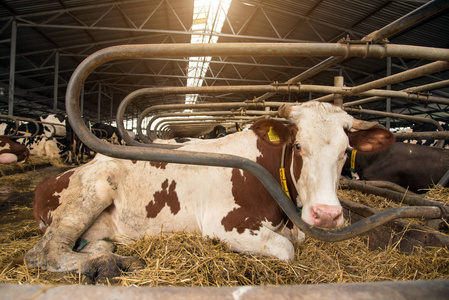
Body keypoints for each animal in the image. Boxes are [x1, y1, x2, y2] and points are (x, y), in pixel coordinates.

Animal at [26, 101, 394, 282]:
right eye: (299, 146)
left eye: (346, 151)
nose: (327, 215)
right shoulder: (226, 224)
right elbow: (287, 250)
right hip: (90, 194)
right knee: (44, 253)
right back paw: (104, 267)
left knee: (92, 244)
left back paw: (111, 260)